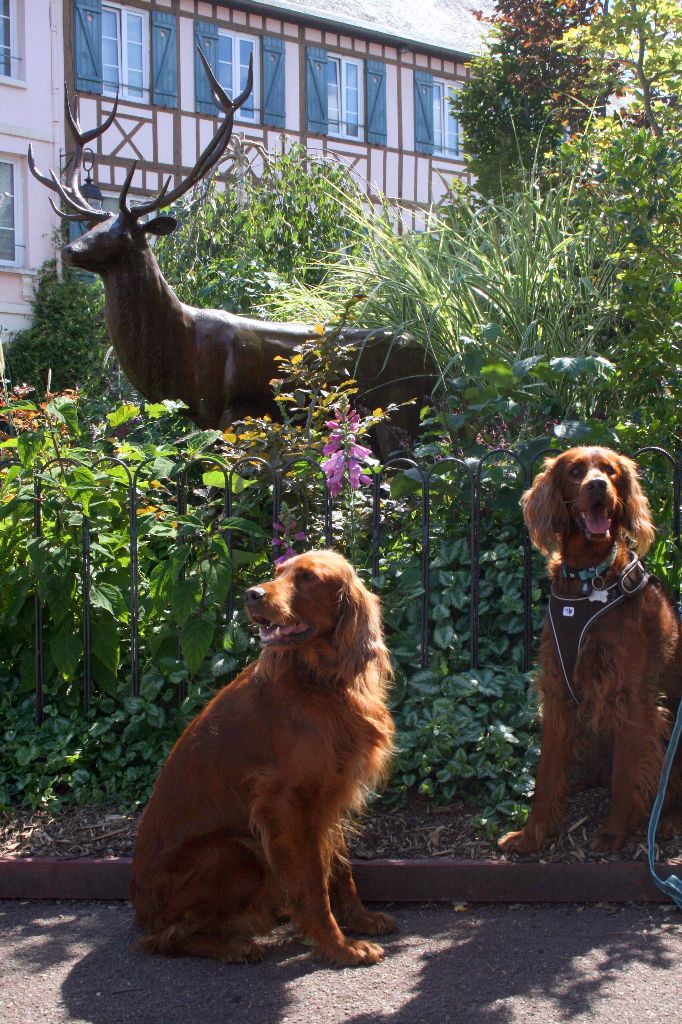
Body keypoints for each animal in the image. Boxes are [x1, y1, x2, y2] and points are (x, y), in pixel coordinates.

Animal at [130, 552, 395, 958]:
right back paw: (235, 947)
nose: (251, 594)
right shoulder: (287, 802)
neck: (319, 680)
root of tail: (141, 910)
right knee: (163, 938)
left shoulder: (328, 793)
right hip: (238, 853)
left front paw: (362, 920)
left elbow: (340, 868)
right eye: (277, 572)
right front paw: (339, 947)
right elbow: (313, 882)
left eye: (307, 578)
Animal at [493, 448, 679, 856]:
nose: (597, 486)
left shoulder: (631, 697)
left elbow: (625, 776)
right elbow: (547, 773)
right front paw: (531, 835)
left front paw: (613, 834)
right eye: (576, 471)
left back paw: (667, 821)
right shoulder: (558, 689)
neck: (589, 580)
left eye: (610, 471)